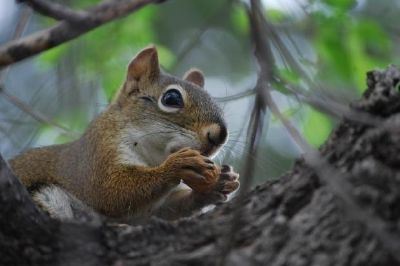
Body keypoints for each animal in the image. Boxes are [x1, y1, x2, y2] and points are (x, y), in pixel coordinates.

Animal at [9, 45, 239, 222]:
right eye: (172, 98)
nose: (219, 135)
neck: (152, 156)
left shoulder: (149, 211)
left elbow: (157, 212)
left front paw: (215, 185)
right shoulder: (95, 157)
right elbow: (110, 192)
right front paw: (177, 166)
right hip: (47, 197)